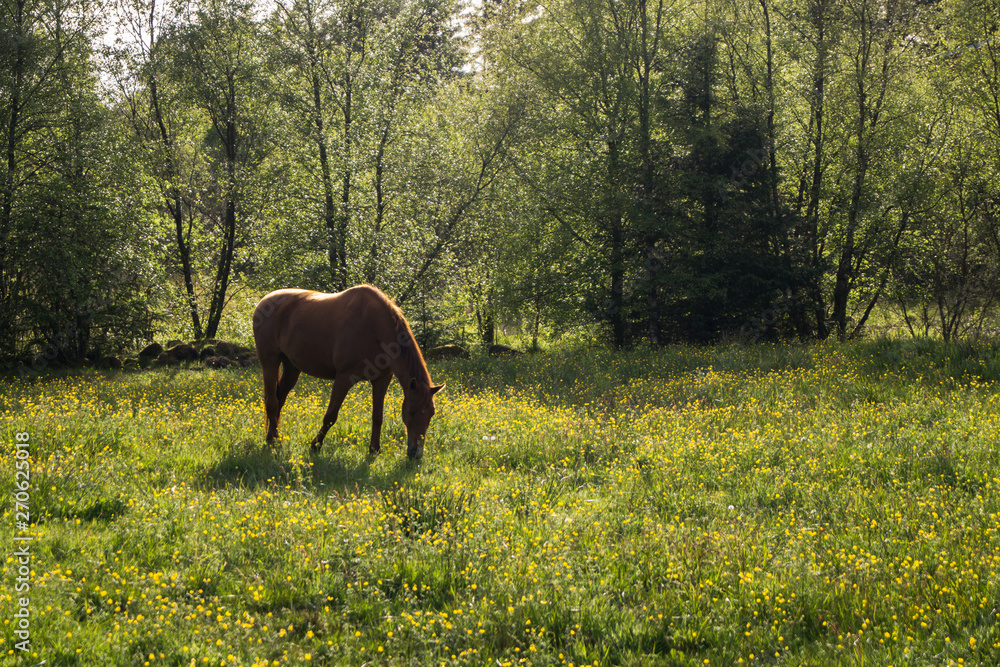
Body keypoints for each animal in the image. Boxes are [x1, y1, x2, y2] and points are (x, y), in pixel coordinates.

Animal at [254, 284, 446, 462]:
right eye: (411, 412)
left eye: (431, 413)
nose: (416, 453)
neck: (374, 327)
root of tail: (264, 301)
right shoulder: (344, 378)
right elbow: (330, 416)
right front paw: (315, 445)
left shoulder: (382, 379)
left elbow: (378, 417)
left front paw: (374, 449)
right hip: (269, 362)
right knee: (272, 401)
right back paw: (275, 442)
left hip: (292, 368)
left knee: (280, 399)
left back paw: (271, 436)